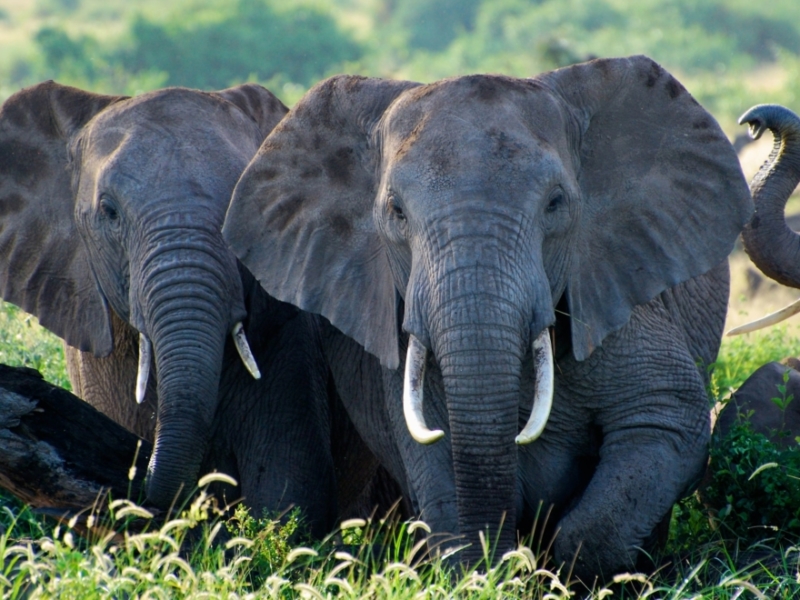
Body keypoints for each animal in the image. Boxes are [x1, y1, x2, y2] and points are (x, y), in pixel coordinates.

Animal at [222, 57, 752, 580]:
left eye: (556, 203)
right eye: (396, 212)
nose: (500, 560)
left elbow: (666, 420)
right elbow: (438, 457)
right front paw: (483, 571)